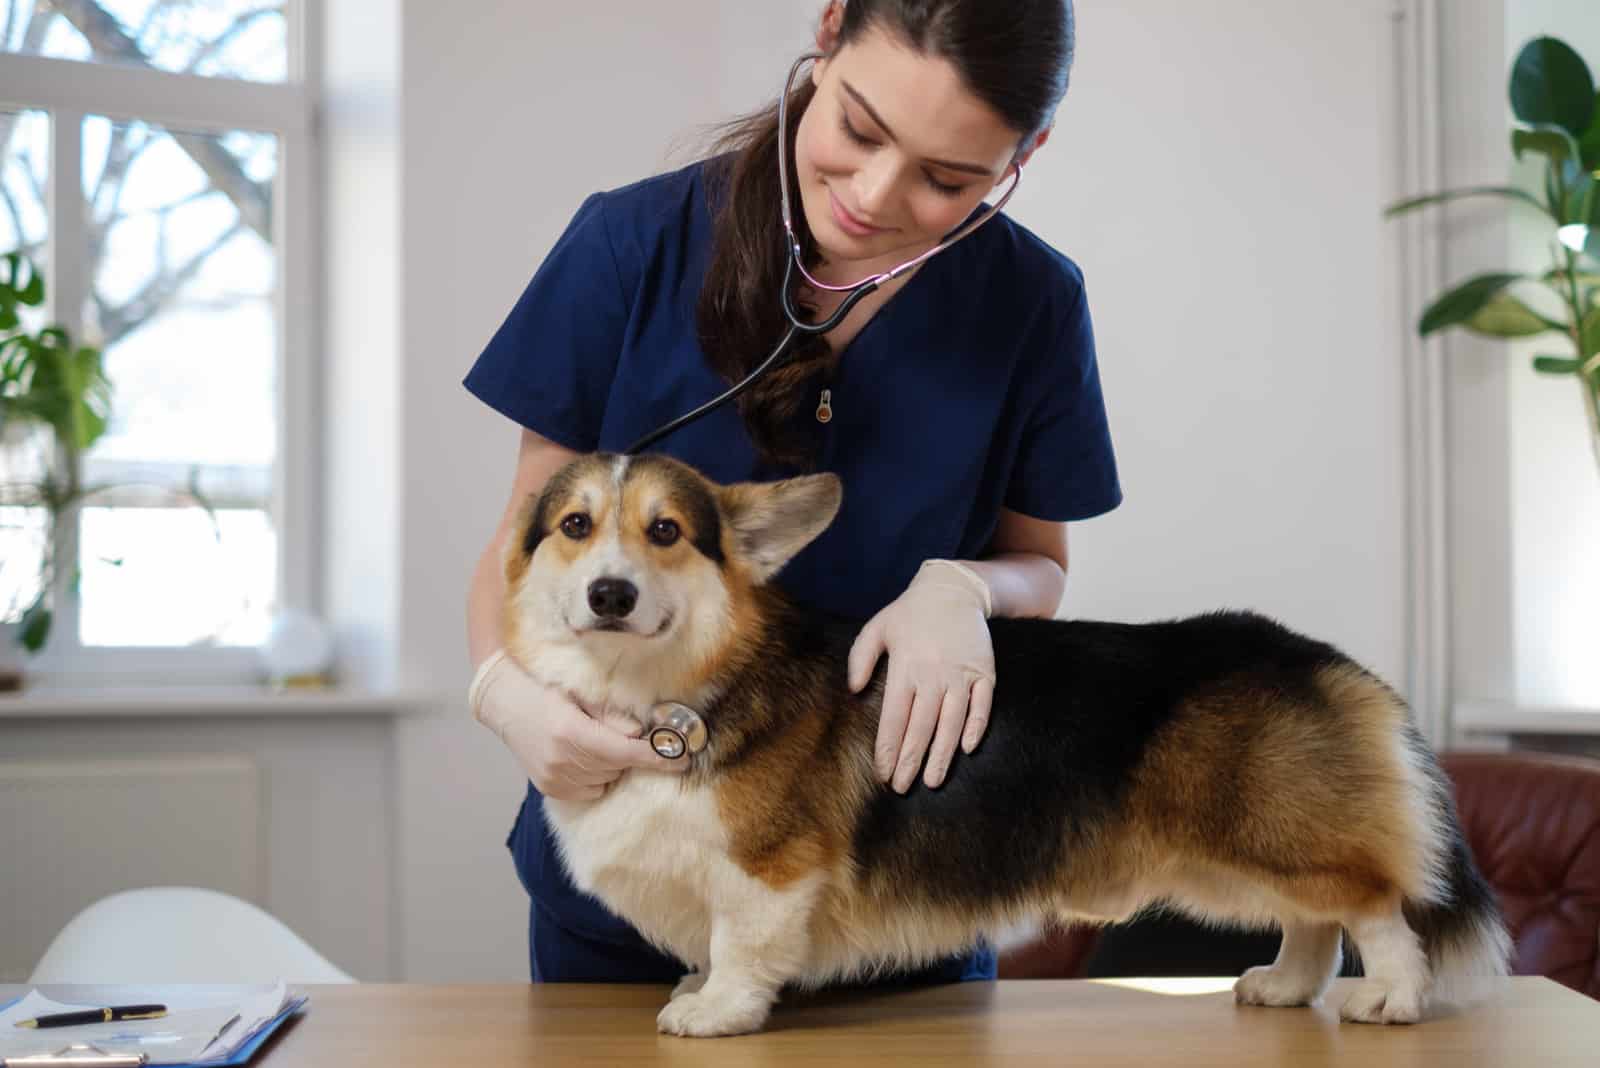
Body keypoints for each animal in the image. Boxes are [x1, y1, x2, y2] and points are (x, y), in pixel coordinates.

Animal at [502, 447, 1510, 1036]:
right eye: (576, 526)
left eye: (666, 531)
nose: (610, 594)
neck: (664, 690)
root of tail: (1322, 658)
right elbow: (711, 943)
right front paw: (692, 988)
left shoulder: (769, 871)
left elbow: (744, 946)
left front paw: (713, 1012)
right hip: (1237, 854)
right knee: (1313, 920)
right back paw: (1284, 987)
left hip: (1270, 832)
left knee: (1372, 906)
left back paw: (1390, 998)